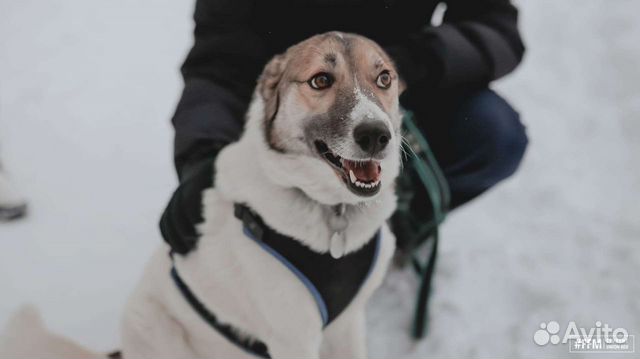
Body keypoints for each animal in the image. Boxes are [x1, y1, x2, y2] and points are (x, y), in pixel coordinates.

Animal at [1, 31, 404, 359]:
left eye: (384, 78)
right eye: (321, 80)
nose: (375, 135)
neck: (333, 211)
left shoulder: (347, 326)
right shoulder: (294, 339)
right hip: (157, 327)